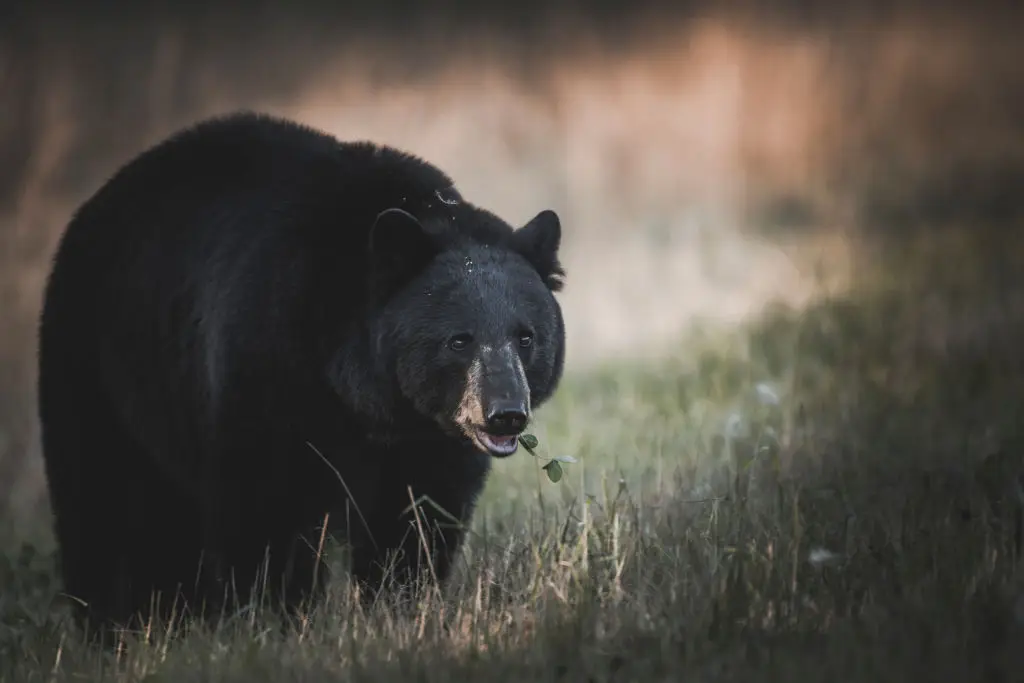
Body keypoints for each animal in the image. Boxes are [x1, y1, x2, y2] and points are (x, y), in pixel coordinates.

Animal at [36, 111, 567, 640]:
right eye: (459, 340)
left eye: (526, 337)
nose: (505, 414)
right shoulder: (265, 362)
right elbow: (267, 509)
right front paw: (276, 619)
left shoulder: (427, 439)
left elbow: (418, 517)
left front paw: (401, 608)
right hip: (96, 361)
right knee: (104, 502)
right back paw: (116, 625)